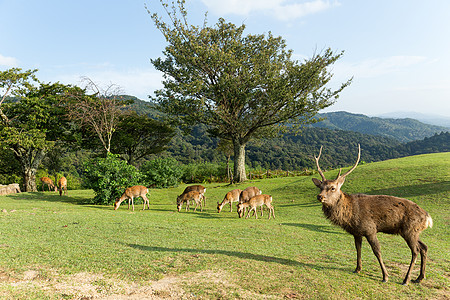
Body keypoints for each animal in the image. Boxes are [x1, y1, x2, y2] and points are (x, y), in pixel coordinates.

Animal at [312, 144, 432, 284]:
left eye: (332, 188)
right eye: (320, 187)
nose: (320, 196)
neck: (350, 215)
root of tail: (428, 218)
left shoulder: (370, 229)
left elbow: (377, 251)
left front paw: (385, 276)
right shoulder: (357, 232)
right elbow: (358, 248)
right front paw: (357, 269)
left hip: (409, 230)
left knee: (415, 251)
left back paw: (406, 279)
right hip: (414, 231)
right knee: (424, 247)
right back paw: (419, 278)